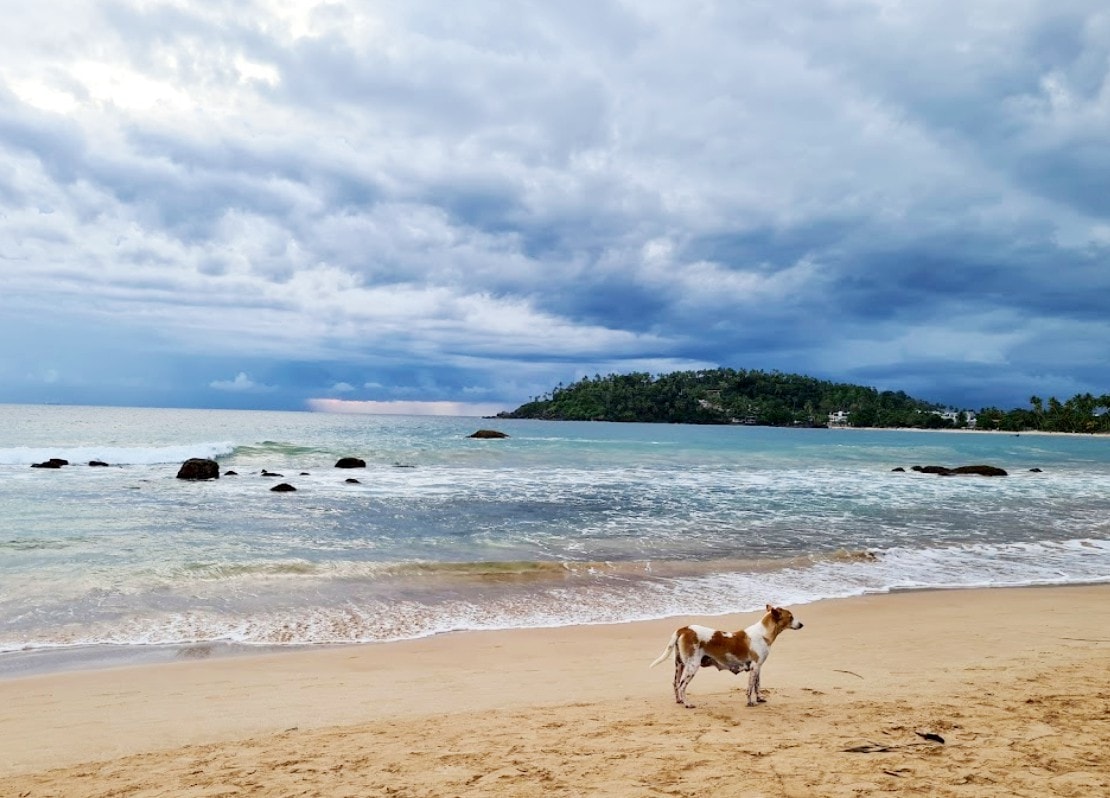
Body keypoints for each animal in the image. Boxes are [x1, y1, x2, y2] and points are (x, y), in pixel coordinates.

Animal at [648, 603, 803, 710]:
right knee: (681, 686)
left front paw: (759, 699)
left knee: (675, 684)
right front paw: (751, 702)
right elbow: (750, 688)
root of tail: (684, 629)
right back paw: (687, 703)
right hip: (692, 667)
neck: (763, 633)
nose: (802, 624)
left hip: (679, 665)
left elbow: (757, 686)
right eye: (791, 617)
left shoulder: (758, 668)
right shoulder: (754, 667)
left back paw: (679, 701)